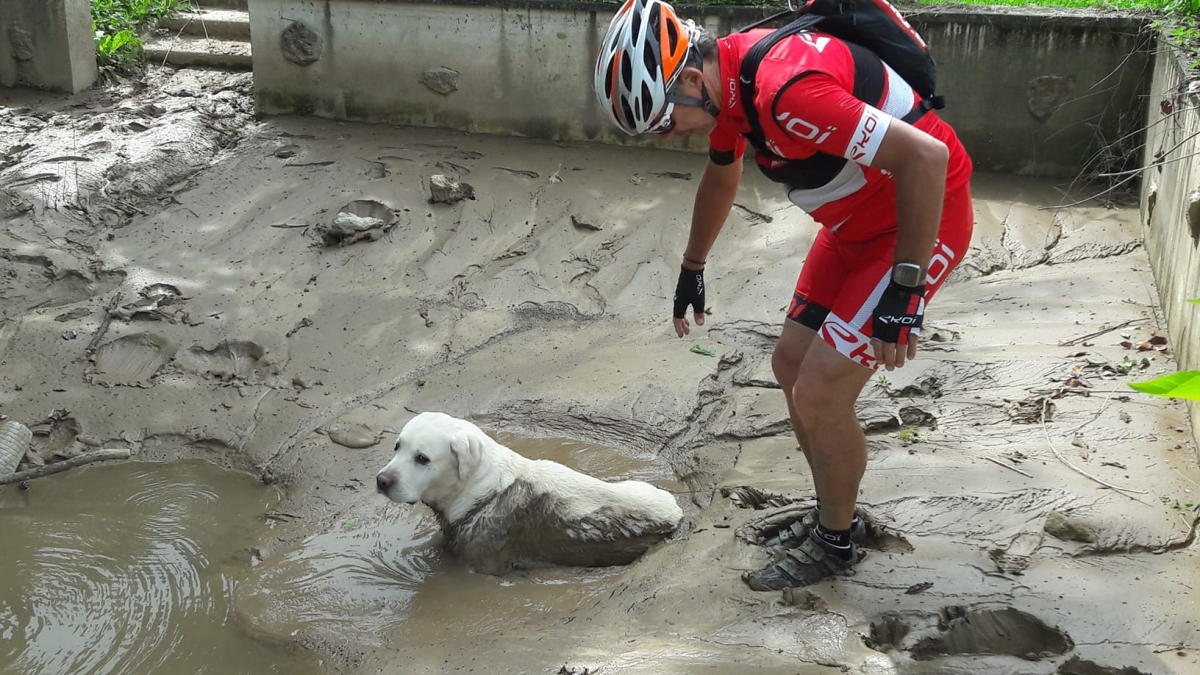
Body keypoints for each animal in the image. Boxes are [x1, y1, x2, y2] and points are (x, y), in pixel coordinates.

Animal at [374, 410, 686, 571]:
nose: (382, 480)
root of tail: (678, 513)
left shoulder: (486, 545)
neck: (480, 491)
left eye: (422, 458)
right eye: (398, 446)